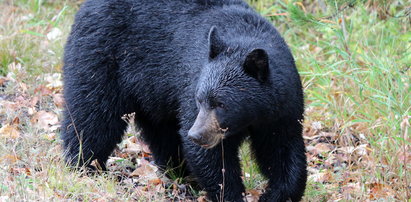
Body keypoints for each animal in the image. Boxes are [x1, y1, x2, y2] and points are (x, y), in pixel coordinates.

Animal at [60, 0, 306, 200]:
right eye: (200, 100)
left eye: (221, 104)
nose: (196, 135)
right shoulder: (191, 83)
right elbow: (212, 158)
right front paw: (229, 194)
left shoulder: (282, 109)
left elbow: (283, 149)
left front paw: (276, 194)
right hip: (101, 56)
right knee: (92, 115)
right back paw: (84, 167)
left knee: (163, 132)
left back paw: (180, 173)